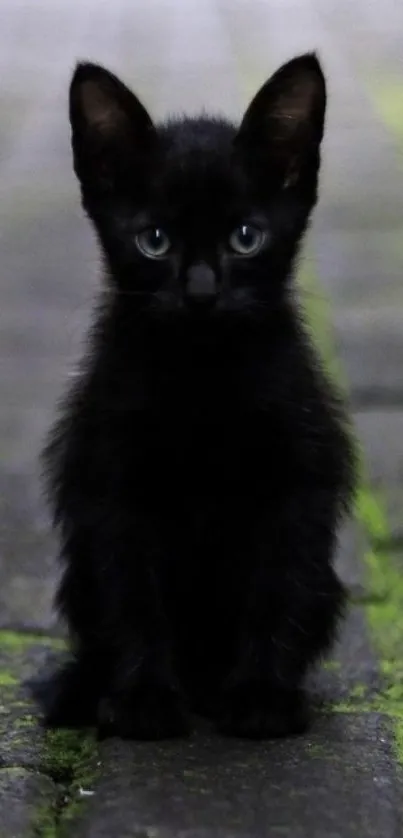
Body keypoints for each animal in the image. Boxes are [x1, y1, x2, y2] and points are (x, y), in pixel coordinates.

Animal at [39, 54, 358, 740]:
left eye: (246, 237)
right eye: (154, 240)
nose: (203, 292)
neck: (203, 377)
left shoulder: (297, 479)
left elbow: (276, 587)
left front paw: (263, 695)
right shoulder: (113, 484)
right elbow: (133, 595)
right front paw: (144, 699)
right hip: (79, 577)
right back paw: (85, 691)